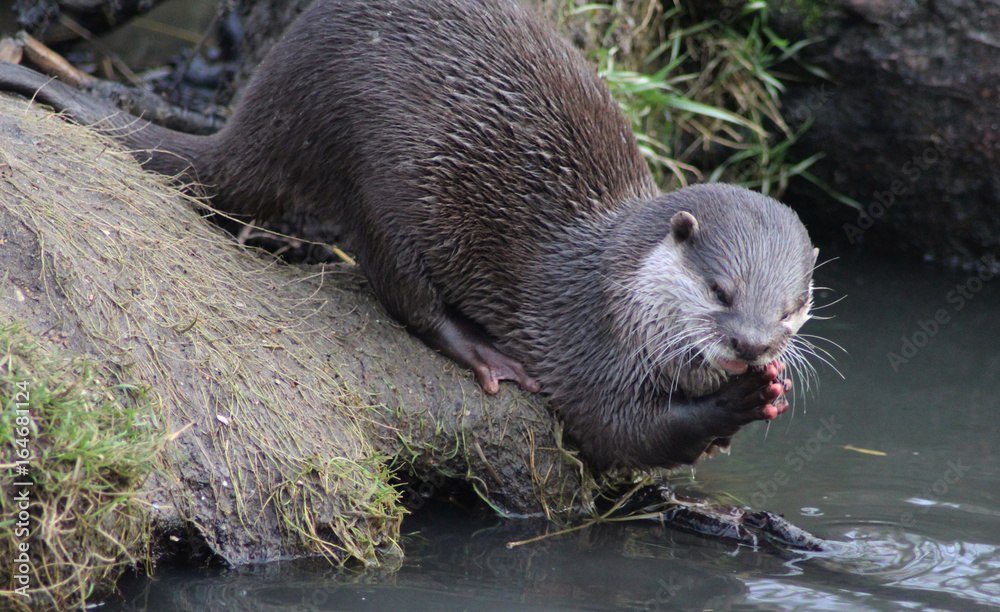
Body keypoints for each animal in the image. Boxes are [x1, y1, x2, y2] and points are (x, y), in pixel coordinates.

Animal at [0, 0, 817, 471]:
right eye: (721, 290)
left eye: (790, 306)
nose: (754, 344)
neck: (617, 283)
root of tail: (263, 102)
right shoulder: (585, 340)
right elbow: (619, 432)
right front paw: (741, 402)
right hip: (377, 171)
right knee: (401, 291)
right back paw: (485, 353)